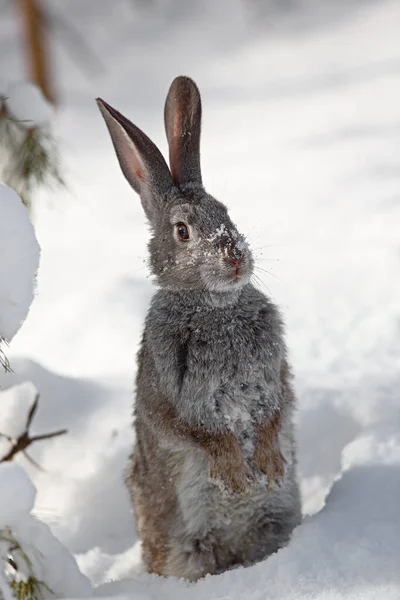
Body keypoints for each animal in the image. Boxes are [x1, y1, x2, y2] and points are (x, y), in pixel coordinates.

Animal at [97, 76, 302, 580]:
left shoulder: (278, 376)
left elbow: (275, 413)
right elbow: (198, 433)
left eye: (227, 213)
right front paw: (235, 475)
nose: (235, 257)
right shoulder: (167, 396)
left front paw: (268, 465)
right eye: (183, 231)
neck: (215, 307)